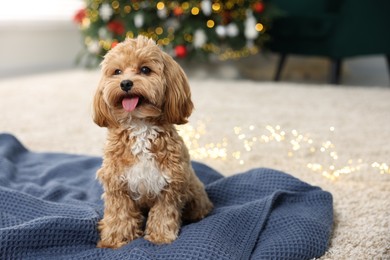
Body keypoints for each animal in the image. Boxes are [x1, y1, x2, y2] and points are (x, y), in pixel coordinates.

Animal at [92, 35, 213, 248]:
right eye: (117, 71)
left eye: (145, 70)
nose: (125, 83)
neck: (140, 125)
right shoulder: (117, 185)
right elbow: (120, 215)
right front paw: (115, 239)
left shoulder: (170, 185)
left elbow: (163, 213)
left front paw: (160, 237)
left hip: (194, 191)